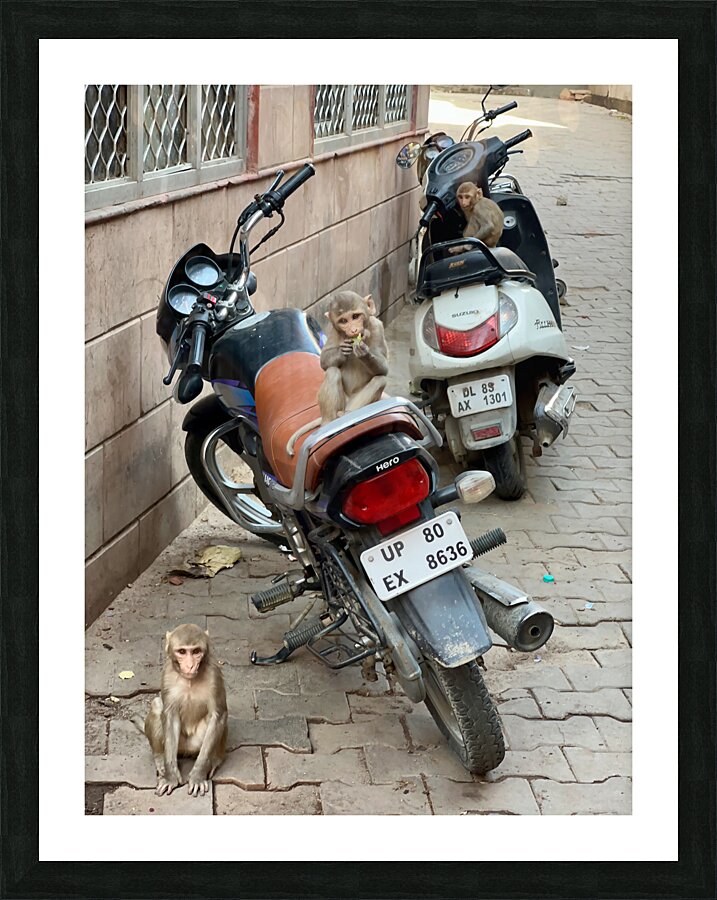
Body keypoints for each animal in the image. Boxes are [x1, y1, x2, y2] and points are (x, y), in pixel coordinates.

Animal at [139, 624, 228, 797]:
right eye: (182, 651)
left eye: (196, 651)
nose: (191, 665)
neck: (190, 681)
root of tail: (187, 750)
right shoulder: (167, 675)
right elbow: (169, 714)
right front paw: (171, 777)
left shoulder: (214, 674)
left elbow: (217, 715)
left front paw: (198, 776)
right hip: (179, 745)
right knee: (157, 705)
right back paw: (159, 758)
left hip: (196, 744)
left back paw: (215, 761)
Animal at [286, 292, 389, 456]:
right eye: (343, 321)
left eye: (355, 316)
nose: (353, 331)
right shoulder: (333, 331)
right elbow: (324, 362)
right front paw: (343, 350)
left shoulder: (377, 327)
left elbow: (384, 369)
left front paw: (364, 351)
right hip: (340, 402)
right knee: (332, 372)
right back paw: (328, 423)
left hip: (357, 402)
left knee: (380, 380)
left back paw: (349, 415)